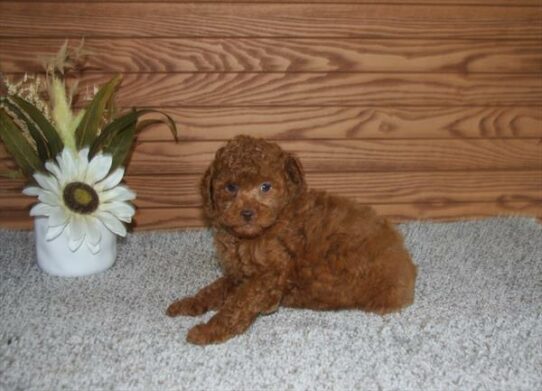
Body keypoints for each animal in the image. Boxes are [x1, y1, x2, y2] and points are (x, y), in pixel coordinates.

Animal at [168, 136, 418, 344]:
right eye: (231, 187)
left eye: (265, 187)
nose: (247, 213)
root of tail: (407, 267)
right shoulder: (239, 275)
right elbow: (214, 289)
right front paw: (187, 303)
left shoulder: (268, 275)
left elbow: (237, 304)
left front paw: (208, 331)